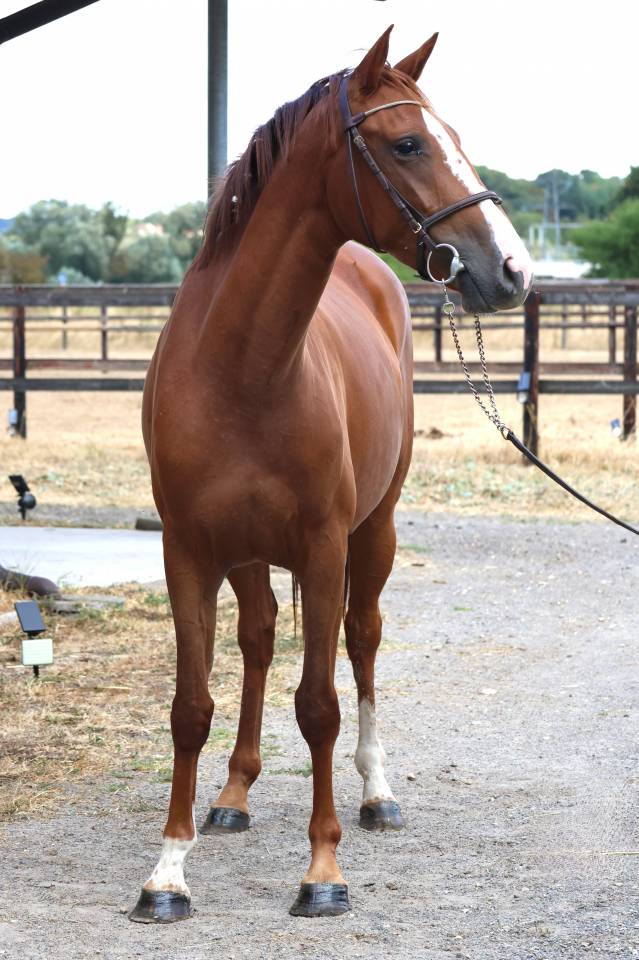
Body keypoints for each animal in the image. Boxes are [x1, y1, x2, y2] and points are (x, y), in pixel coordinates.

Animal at [129, 25, 533, 923]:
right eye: (408, 142)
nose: (513, 271)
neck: (243, 367)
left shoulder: (322, 548)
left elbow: (318, 707)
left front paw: (322, 872)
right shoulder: (187, 553)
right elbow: (190, 707)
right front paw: (167, 871)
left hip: (371, 534)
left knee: (362, 638)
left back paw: (376, 794)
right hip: (248, 556)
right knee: (256, 640)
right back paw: (232, 797)